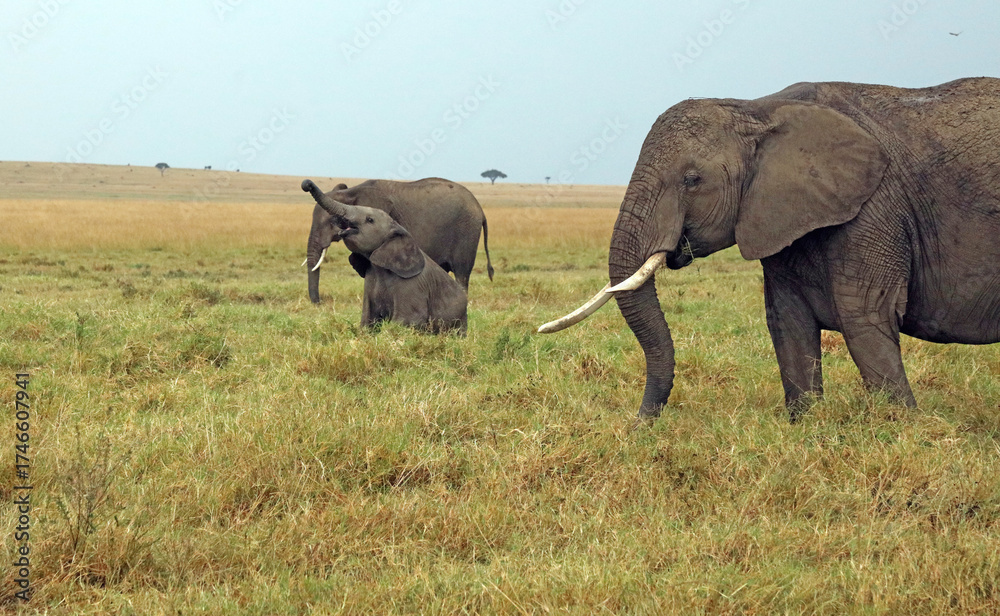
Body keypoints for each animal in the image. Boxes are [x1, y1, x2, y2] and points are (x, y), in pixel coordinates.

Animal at [305, 177, 493, 303]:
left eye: (333, 221)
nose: (319, 302)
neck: (351, 192)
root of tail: (480, 208)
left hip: (466, 232)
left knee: (462, 273)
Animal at [540, 77, 1000, 420]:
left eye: (692, 180)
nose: (640, 424)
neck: (756, 109)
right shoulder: (777, 212)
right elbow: (787, 321)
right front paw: (808, 427)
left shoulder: (874, 207)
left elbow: (865, 317)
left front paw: (901, 429)